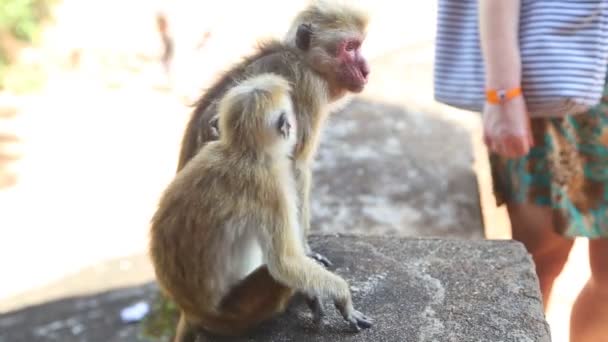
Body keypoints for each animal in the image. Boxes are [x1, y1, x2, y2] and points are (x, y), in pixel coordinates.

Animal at [150, 73, 372, 340]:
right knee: (277, 277)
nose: (293, 128)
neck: (241, 151)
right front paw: (342, 297)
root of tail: (192, 310)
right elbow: (285, 263)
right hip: (238, 312)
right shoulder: (271, 186)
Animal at [173, 0, 368, 268]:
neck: (303, 60)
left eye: (359, 45)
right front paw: (305, 251)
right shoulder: (309, 88)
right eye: (349, 48)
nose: (366, 70)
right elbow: (296, 165)